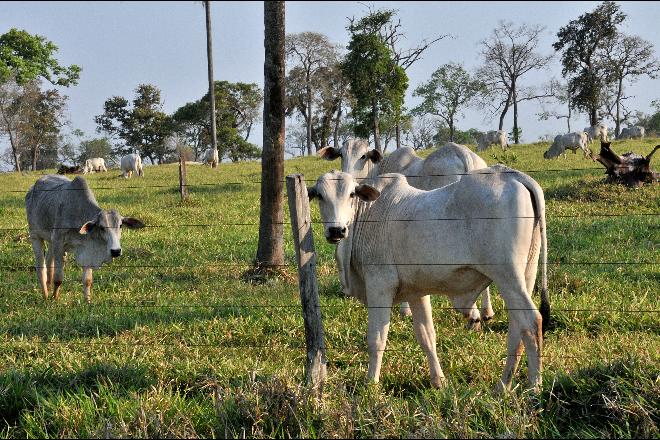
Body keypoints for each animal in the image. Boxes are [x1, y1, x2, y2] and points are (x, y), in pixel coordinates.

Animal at [306, 168, 548, 392]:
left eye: (351, 194)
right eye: (319, 195)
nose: (336, 230)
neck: (367, 214)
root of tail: (511, 175)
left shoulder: (379, 285)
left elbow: (377, 338)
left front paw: (371, 384)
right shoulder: (417, 293)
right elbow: (426, 336)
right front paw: (438, 381)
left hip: (507, 275)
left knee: (531, 322)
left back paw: (534, 387)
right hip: (526, 274)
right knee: (517, 328)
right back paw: (504, 384)